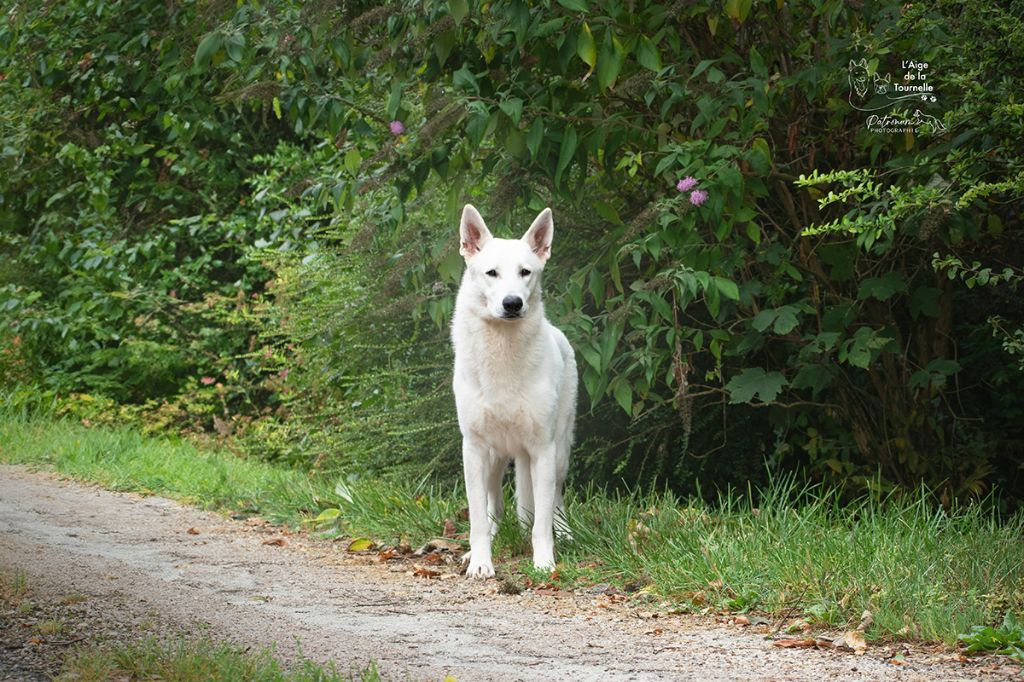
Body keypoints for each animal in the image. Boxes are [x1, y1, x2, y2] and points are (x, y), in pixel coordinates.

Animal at [452, 204, 581, 577]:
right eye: (491, 273)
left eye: (526, 272)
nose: (512, 303)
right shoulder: (474, 449)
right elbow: (478, 520)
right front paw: (480, 563)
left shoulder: (542, 450)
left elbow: (541, 522)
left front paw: (544, 561)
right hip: (495, 459)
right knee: (494, 507)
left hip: (558, 453)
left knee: (554, 502)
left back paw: (565, 535)